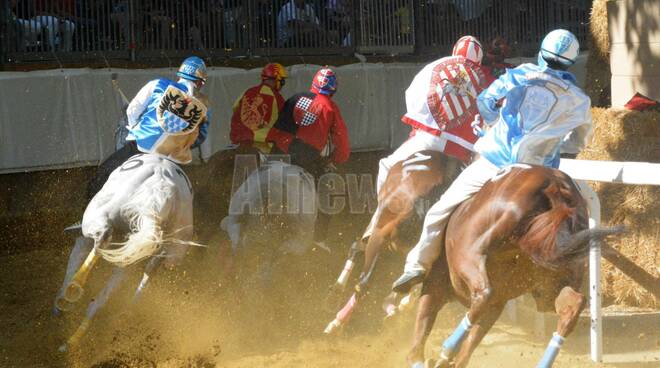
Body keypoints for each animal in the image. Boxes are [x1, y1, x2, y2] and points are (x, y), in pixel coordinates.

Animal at [52, 154, 197, 352]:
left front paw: (60, 302)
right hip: (166, 250)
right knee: (143, 276)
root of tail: (161, 181)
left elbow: (73, 263)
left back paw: (73, 289)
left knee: (102, 238)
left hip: (96, 215)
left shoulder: (82, 241)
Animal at [402, 165, 624, 366]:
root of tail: (555, 186)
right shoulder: (497, 303)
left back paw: (447, 349)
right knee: (572, 304)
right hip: (551, 283)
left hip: (469, 255)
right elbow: (469, 342)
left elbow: (422, 326)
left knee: (483, 293)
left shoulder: (436, 284)